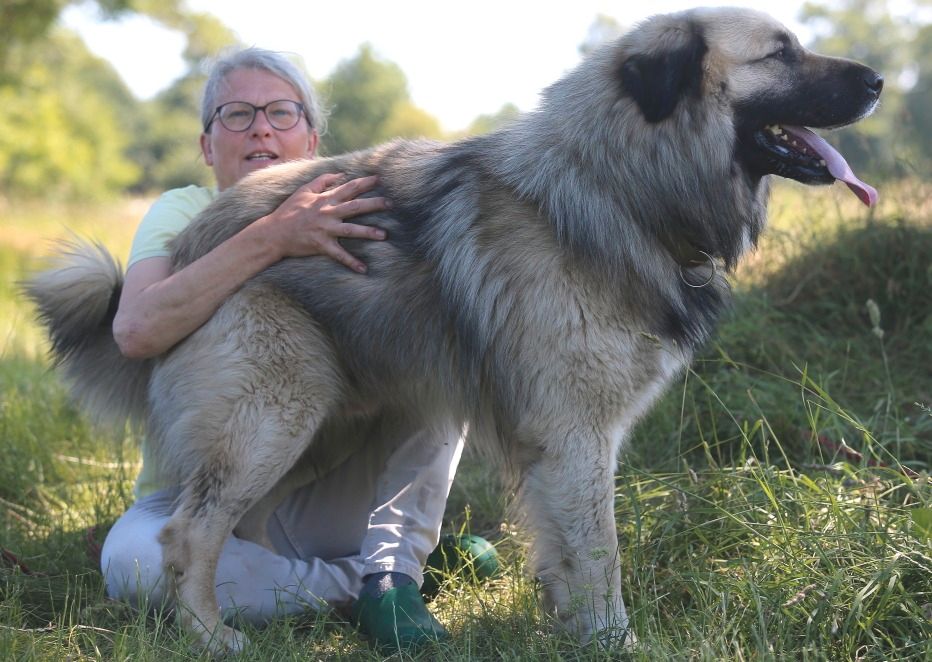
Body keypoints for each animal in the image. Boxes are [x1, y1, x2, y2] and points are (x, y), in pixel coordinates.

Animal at [23, 7, 880, 656]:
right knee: (188, 534)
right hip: (270, 416)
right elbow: (599, 552)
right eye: (781, 52)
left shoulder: (556, 441)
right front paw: (614, 640)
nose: (876, 79)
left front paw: (571, 628)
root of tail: (184, 251)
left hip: (322, 425)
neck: (617, 183)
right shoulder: (575, 432)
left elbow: (566, 552)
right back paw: (211, 636)